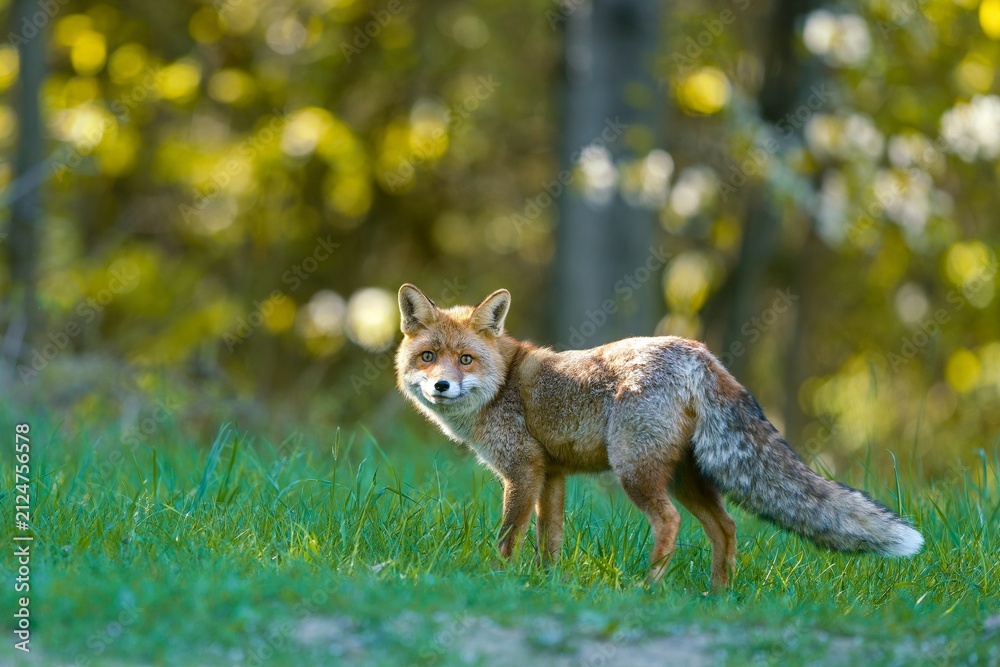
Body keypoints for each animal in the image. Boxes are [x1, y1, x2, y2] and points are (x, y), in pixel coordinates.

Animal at [395, 284, 923, 589]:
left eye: (465, 359)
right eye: (428, 357)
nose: (441, 386)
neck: (502, 385)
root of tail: (698, 351)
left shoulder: (522, 472)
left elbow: (509, 537)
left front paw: (498, 578)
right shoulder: (552, 476)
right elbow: (550, 539)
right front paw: (547, 583)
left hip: (637, 472)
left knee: (671, 523)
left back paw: (647, 586)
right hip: (687, 476)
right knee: (725, 527)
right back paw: (717, 595)